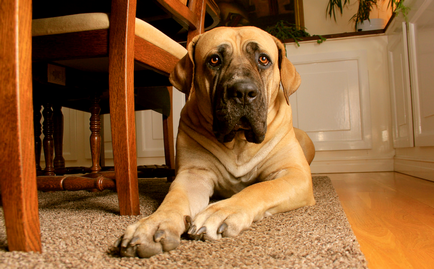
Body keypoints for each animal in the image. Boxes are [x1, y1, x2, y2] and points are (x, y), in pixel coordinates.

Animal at [116, 26, 316, 256]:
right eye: (214, 60)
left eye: (264, 59)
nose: (243, 92)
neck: (238, 141)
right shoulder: (194, 175)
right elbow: (173, 199)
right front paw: (153, 224)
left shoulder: (295, 175)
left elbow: (260, 188)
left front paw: (221, 211)